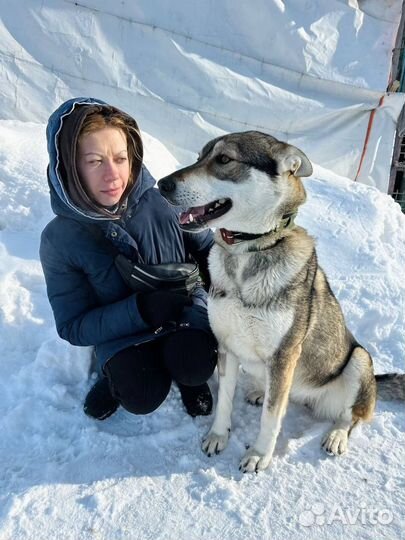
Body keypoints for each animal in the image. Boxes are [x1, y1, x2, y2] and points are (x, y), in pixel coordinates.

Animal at [158, 131, 404, 472]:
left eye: (224, 159)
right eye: (199, 157)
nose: (162, 184)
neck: (248, 252)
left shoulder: (284, 356)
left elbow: (272, 418)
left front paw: (259, 455)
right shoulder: (226, 346)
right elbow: (224, 403)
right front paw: (218, 436)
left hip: (358, 360)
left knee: (351, 416)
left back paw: (336, 435)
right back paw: (261, 393)